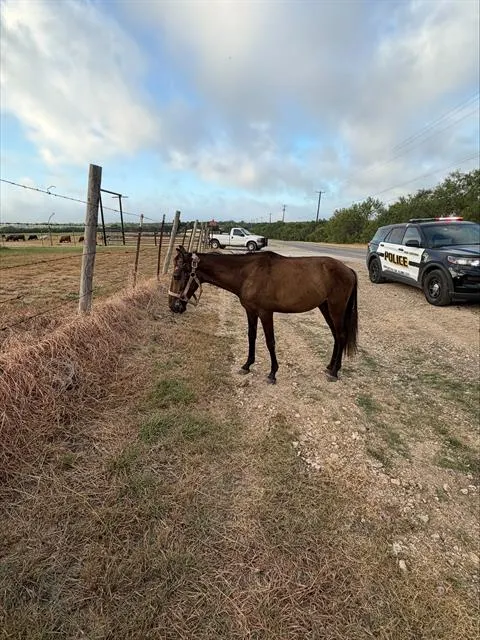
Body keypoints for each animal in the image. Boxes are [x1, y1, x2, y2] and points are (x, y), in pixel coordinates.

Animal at [168, 247, 358, 383]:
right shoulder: (250, 311)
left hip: (336, 309)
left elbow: (270, 342)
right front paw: (247, 365)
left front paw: (272, 373)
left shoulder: (266, 313)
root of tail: (348, 269)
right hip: (325, 308)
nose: (173, 306)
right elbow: (251, 336)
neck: (248, 273)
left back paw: (334, 372)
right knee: (336, 336)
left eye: (176, 275)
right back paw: (330, 366)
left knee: (341, 335)